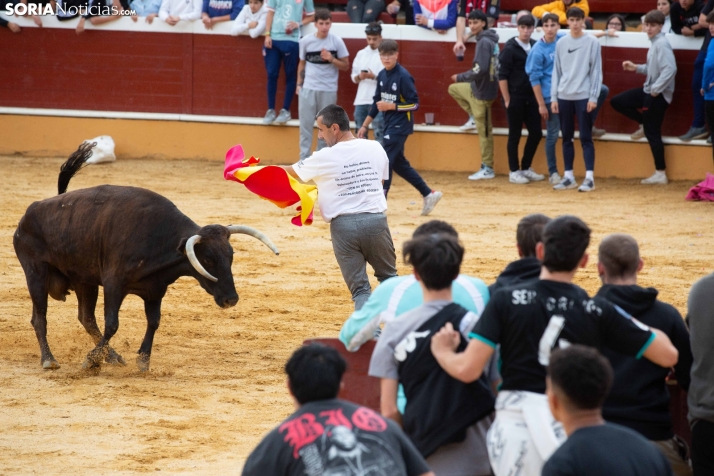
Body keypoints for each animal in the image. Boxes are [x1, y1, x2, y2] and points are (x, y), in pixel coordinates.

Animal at [12, 143, 278, 374]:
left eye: (230, 256)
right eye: (209, 260)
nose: (231, 299)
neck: (160, 240)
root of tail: (30, 212)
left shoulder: (154, 290)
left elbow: (153, 322)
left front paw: (142, 360)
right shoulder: (114, 284)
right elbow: (113, 323)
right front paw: (90, 361)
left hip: (84, 280)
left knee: (86, 318)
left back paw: (112, 357)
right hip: (35, 272)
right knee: (40, 317)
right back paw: (49, 360)